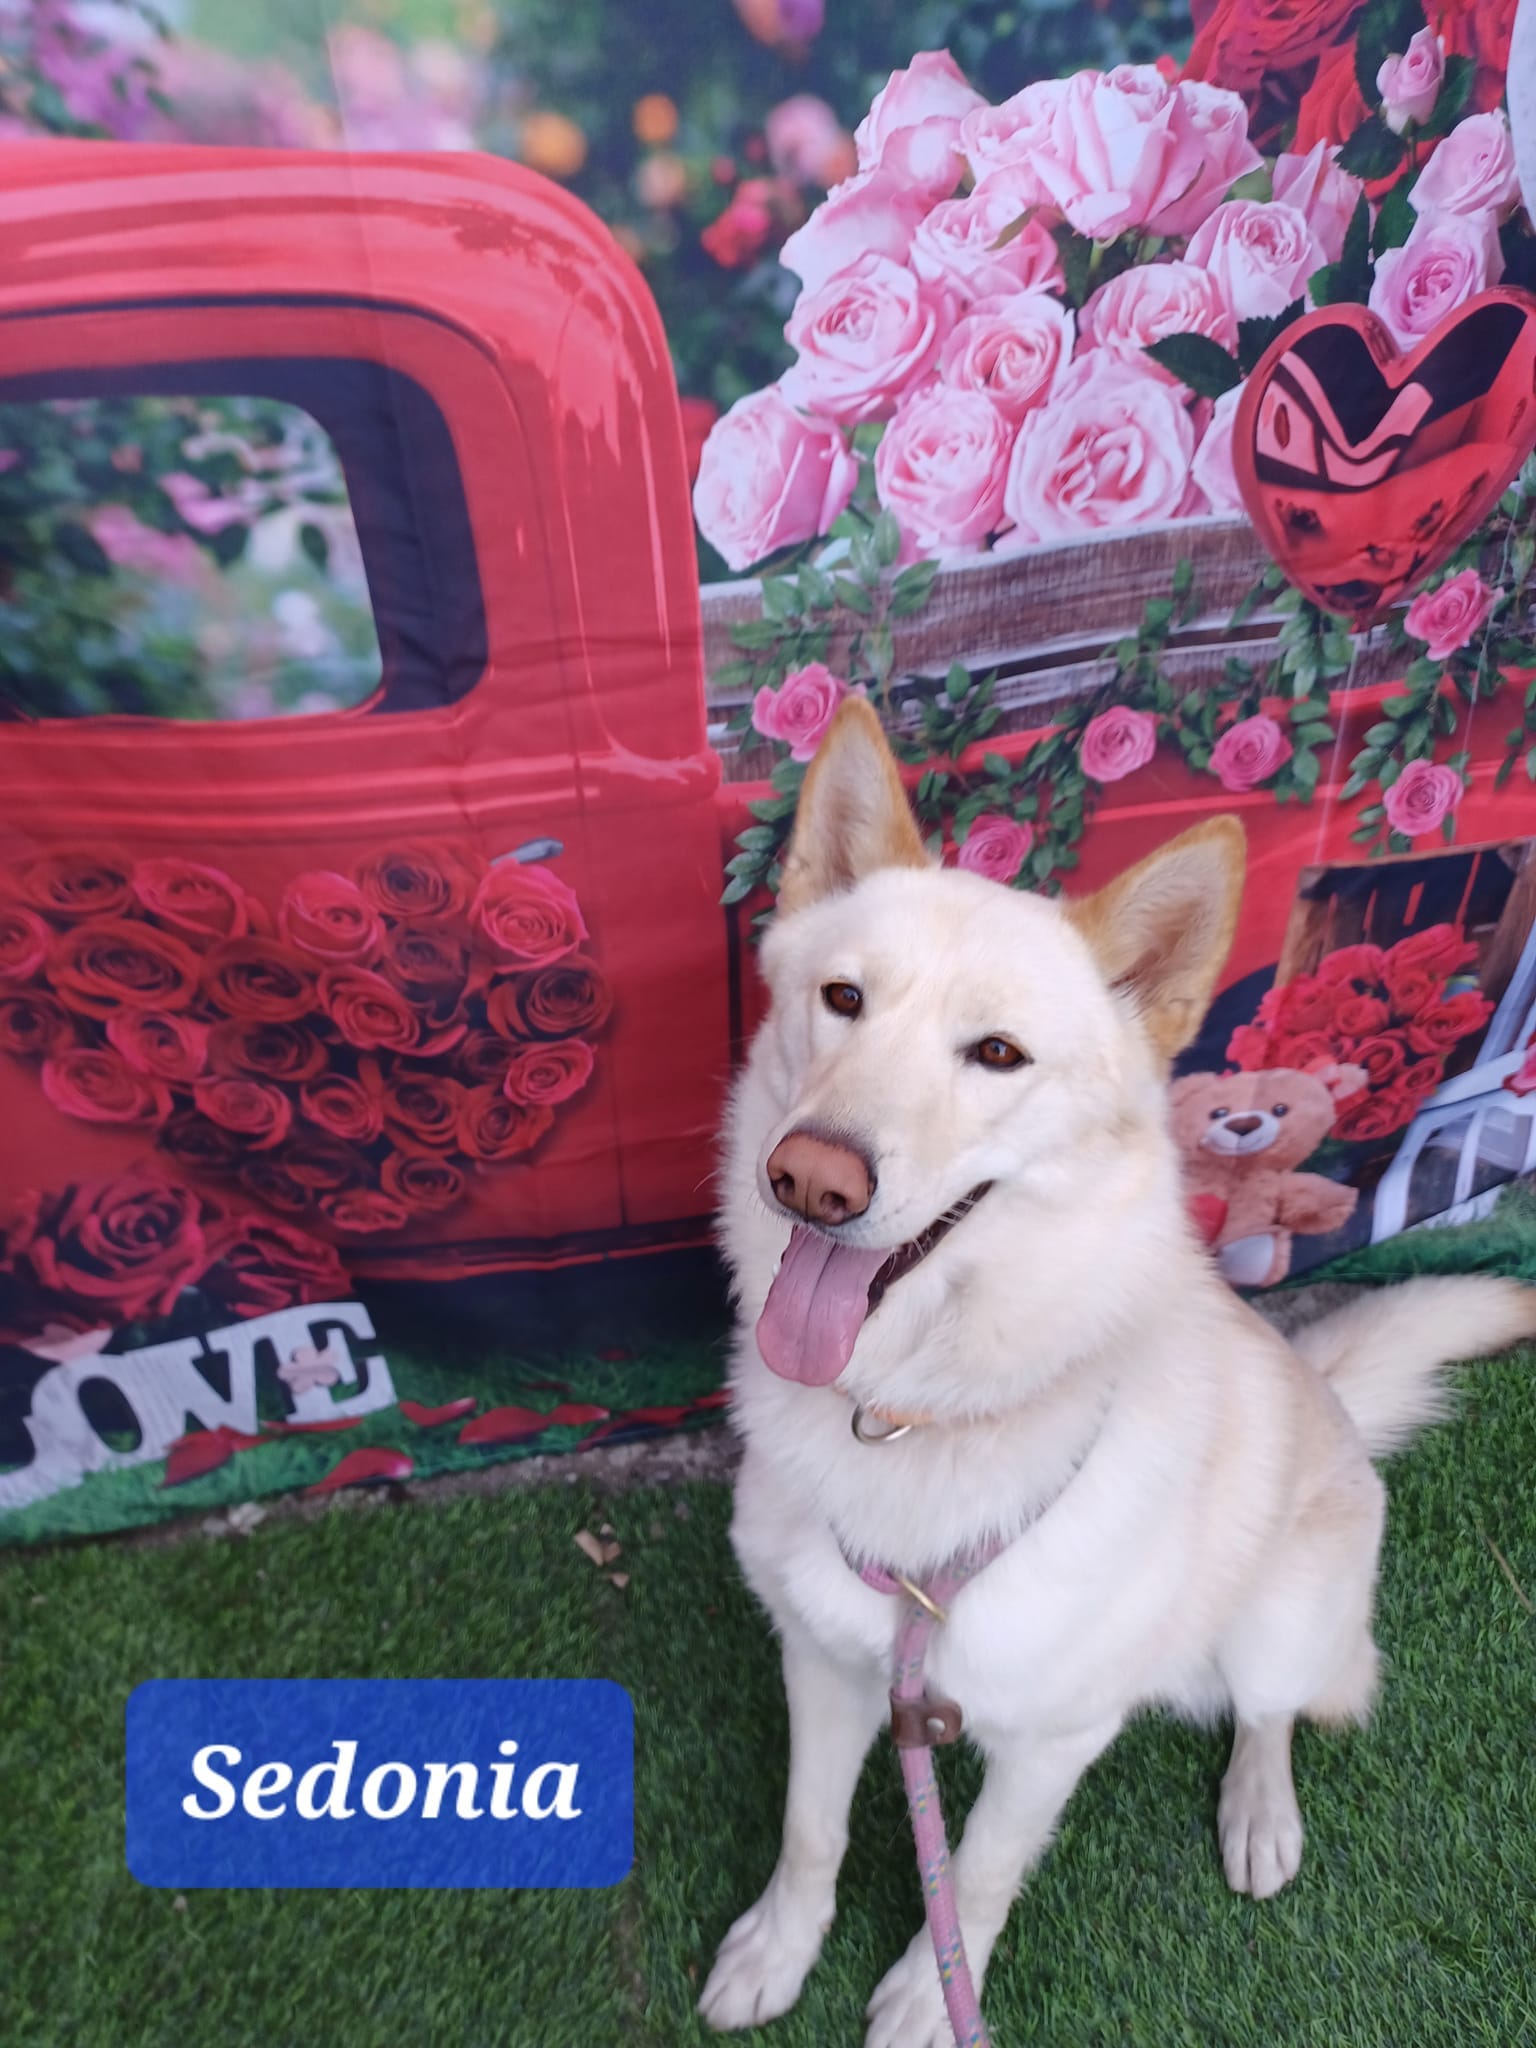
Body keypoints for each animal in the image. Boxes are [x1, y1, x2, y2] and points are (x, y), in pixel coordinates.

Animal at [704, 700, 1531, 2048]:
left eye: (997, 1052)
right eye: (842, 998)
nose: (811, 1178)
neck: (916, 1413)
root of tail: (1329, 1394)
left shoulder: (1055, 1735)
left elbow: (980, 1871)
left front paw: (933, 1996)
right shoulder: (822, 1660)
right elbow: (809, 1828)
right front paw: (779, 1950)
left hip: (1282, 1616)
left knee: (1271, 1711)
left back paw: (1260, 1813)